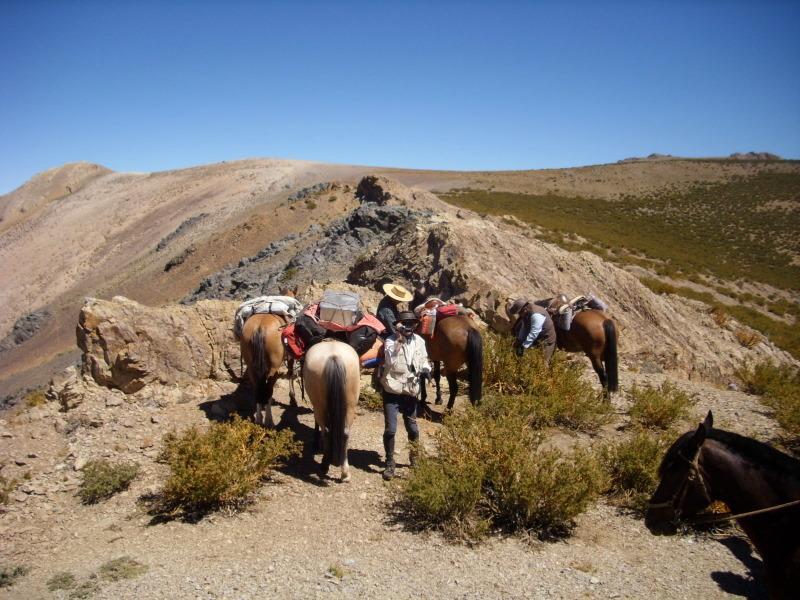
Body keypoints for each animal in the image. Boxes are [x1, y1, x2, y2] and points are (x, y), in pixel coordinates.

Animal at [302, 340, 360, 480]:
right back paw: (345, 473)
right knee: (345, 432)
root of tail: (334, 356)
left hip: (320, 405)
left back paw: (324, 465)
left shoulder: (316, 406)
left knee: (327, 431)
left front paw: (316, 442)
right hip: (350, 406)